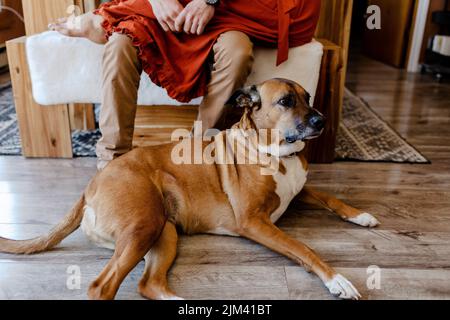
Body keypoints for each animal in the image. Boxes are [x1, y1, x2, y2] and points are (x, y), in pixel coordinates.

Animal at [0, 79, 378, 298]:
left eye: (307, 97)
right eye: (286, 101)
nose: (322, 121)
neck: (274, 151)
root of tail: (91, 186)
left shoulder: (298, 191)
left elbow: (328, 196)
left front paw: (360, 215)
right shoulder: (254, 222)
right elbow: (304, 248)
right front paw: (337, 280)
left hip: (161, 232)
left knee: (148, 285)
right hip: (143, 226)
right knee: (101, 286)